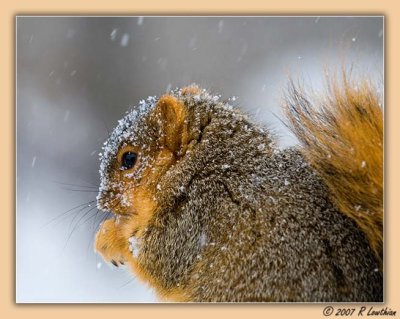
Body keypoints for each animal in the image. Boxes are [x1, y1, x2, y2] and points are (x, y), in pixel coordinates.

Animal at [94, 75, 384, 302]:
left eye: (129, 159)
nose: (101, 201)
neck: (212, 165)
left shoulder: (193, 219)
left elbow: (158, 263)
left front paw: (109, 236)